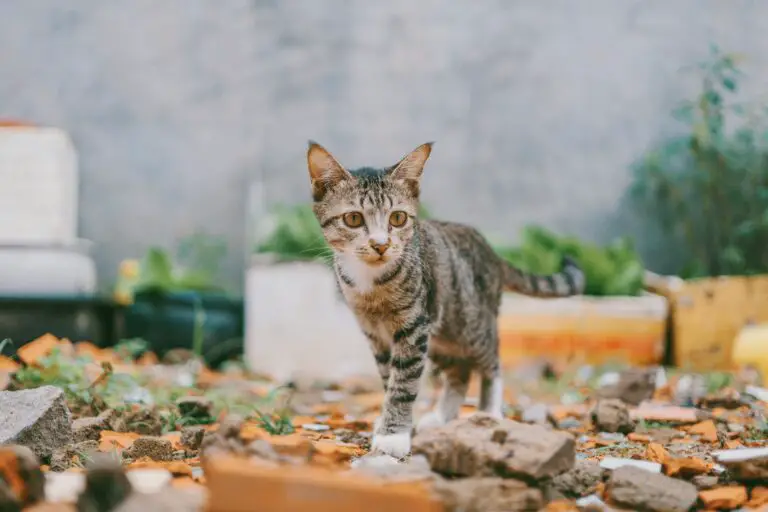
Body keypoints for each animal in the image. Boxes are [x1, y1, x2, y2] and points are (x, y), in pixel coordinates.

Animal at [304, 141, 584, 460]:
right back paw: (442, 418)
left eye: (397, 218)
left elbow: (404, 384)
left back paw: (489, 413)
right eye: (353, 219)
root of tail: (491, 252)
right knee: (459, 373)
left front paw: (393, 436)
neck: (371, 285)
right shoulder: (375, 334)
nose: (380, 245)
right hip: (441, 335)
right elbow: (389, 379)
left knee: (491, 361)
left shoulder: (414, 327)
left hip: (470, 324)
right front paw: (391, 422)